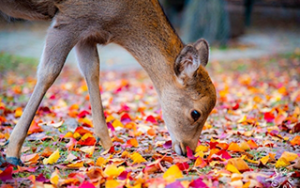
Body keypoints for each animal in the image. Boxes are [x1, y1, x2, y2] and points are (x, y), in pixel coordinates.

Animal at [0, 0, 216, 166]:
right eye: (195, 113)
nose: (189, 150)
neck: (116, 21)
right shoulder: (69, 18)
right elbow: (49, 72)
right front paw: (12, 153)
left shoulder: (87, 32)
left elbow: (92, 70)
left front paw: (108, 147)